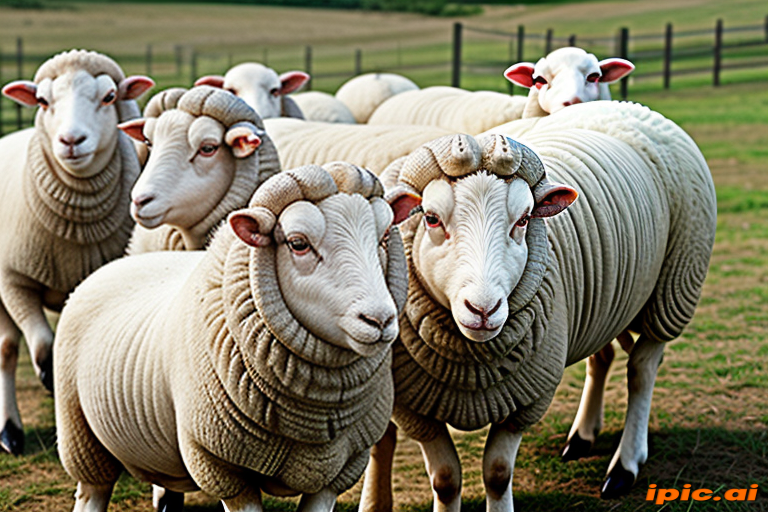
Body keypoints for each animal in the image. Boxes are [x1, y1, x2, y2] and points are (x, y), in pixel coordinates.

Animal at [0, 49, 153, 455]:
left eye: (110, 97)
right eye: (42, 100)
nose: (71, 140)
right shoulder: (13, 280)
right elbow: (42, 347)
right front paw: (49, 380)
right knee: (6, 350)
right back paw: (10, 432)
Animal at [54, 162, 409, 512]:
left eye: (382, 238)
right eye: (298, 243)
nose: (380, 319)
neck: (312, 415)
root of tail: (115, 264)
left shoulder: (338, 472)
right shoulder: (224, 469)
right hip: (82, 439)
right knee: (92, 490)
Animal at [361, 101, 716, 511]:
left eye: (524, 219)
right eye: (431, 219)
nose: (483, 309)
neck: (471, 364)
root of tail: (621, 105)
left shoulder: (528, 399)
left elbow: (498, 473)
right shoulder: (414, 408)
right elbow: (446, 479)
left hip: (672, 292)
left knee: (642, 370)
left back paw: (624, 465)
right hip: (604, 305)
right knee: (603, 357)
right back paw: (582, 437)